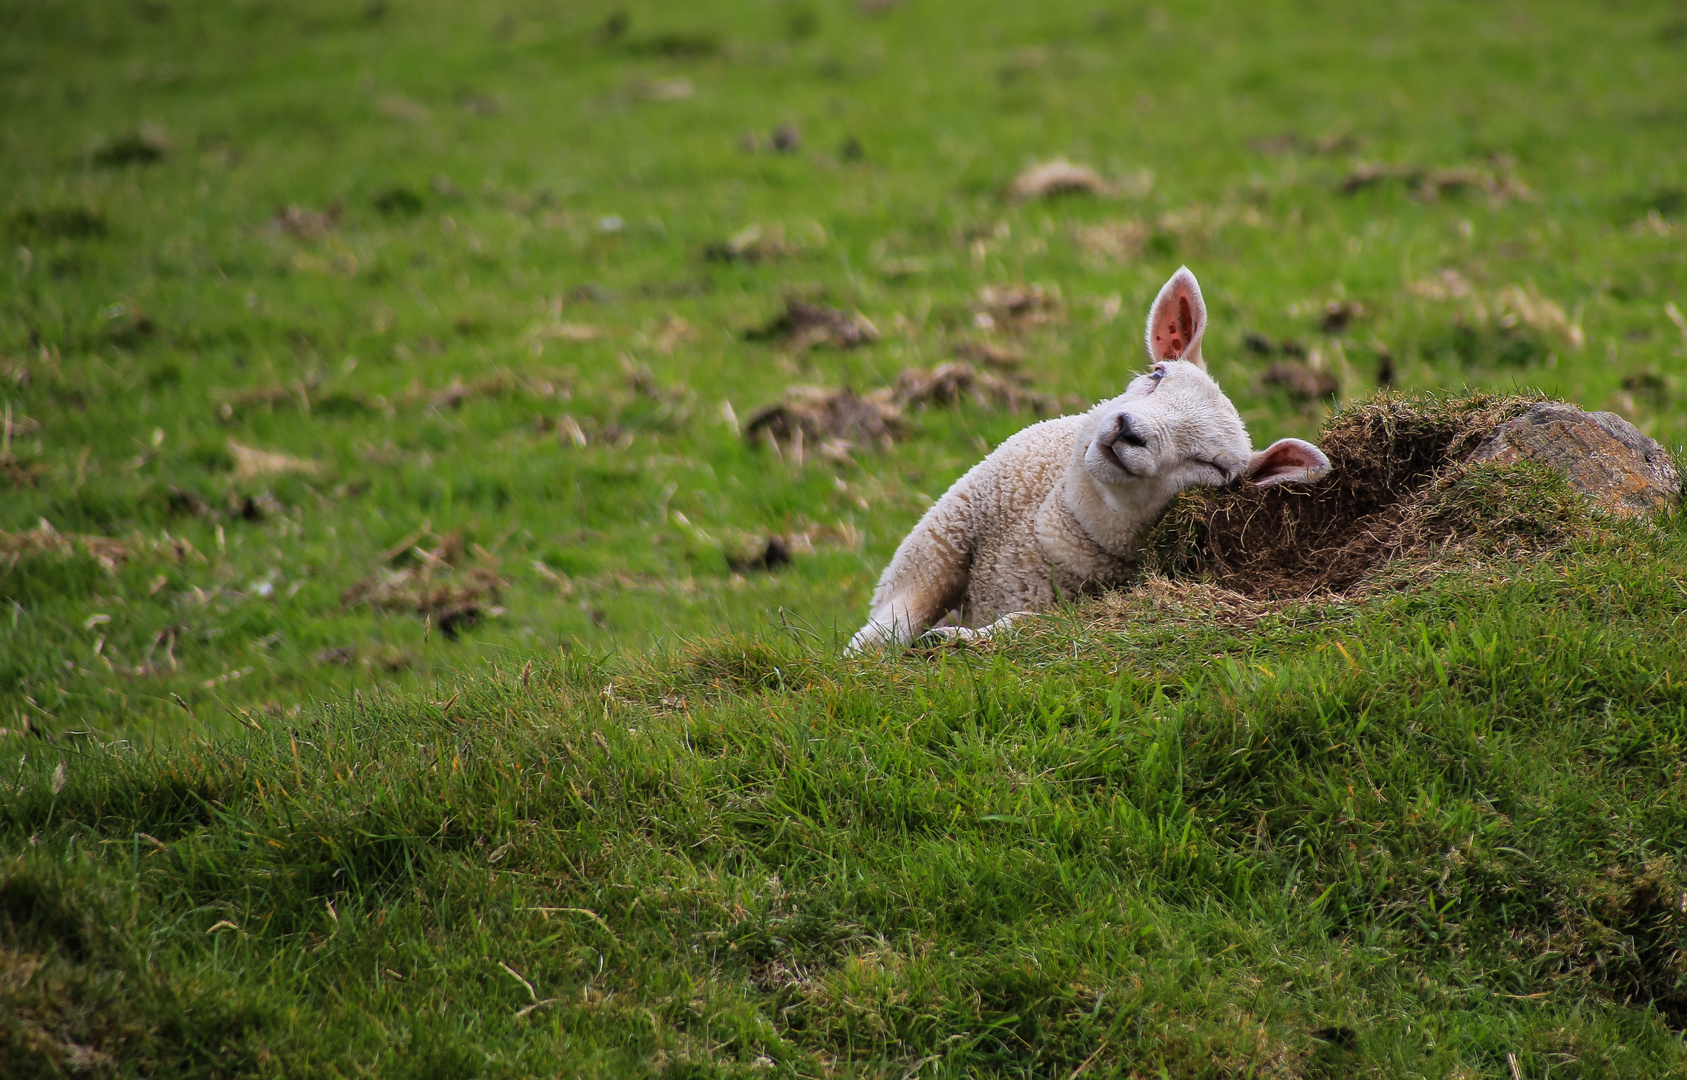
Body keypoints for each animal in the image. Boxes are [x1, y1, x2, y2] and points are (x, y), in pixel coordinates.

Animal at [850, 268, 1336, 648]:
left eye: (1215, 469)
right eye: (1157, 374)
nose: (1129, 431)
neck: (1057, 532)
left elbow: (1021, 624)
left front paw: (955, 641)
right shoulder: (940, 539)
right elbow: (894, 622)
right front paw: (863, 658)